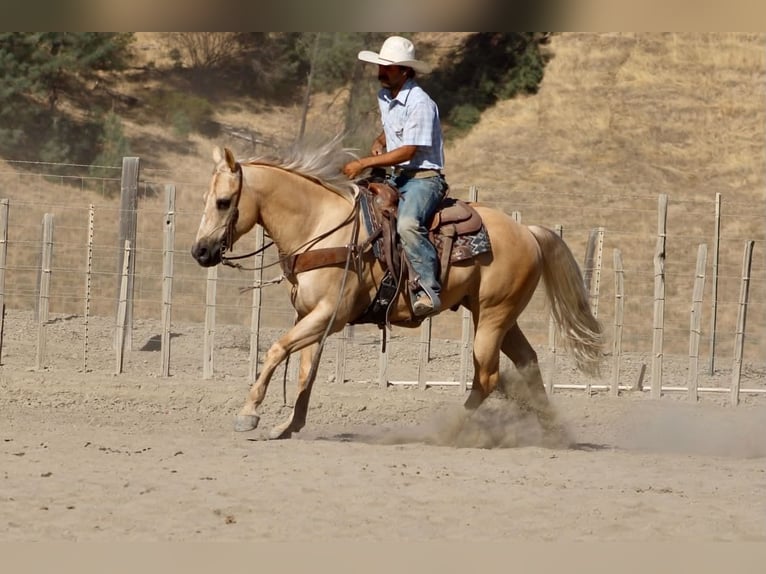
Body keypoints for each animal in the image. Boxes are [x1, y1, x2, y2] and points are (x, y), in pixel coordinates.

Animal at [191, 137, 603, 443]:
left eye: (223, 202)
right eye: (205, 200)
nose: (200, 252)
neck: (321, 226)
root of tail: (528, 231)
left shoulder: (329, 316)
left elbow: (277, 350)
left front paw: (248, 414)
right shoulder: (309, 316)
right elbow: (307, 370)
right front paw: (289, 426)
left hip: (492, 317)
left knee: (486, 377)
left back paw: (451, 431)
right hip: (500, 316)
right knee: (527, 362)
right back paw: (553, 433)